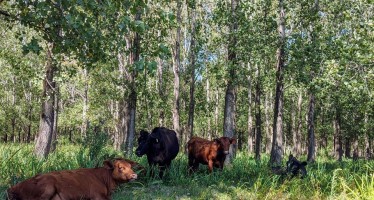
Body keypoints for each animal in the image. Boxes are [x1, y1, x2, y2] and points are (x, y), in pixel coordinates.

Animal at [6, 159, 139, 199]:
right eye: (121, 167)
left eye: (130, 166)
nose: (134, 175)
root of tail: (13, 187)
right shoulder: (97, 196)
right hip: (48, 187)